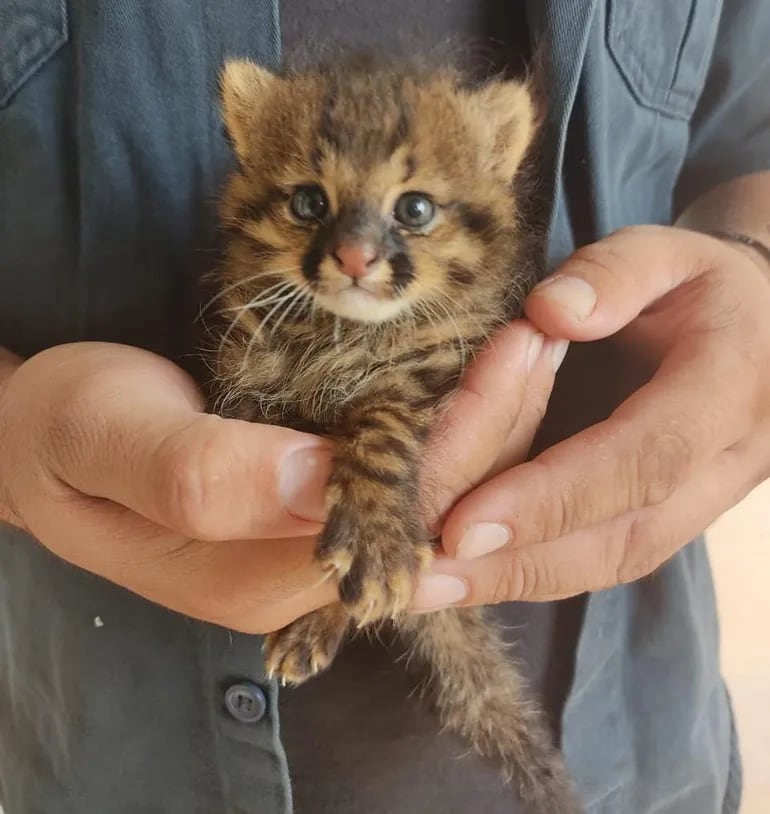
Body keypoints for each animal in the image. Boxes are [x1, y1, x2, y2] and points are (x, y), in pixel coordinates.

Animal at [207, 57, 580, 814]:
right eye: (308, 203)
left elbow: (379, 429)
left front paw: (375, 538)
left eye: (414, 210)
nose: (354, 258)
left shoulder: (424, 376)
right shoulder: (247, 383)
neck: (341, 329)